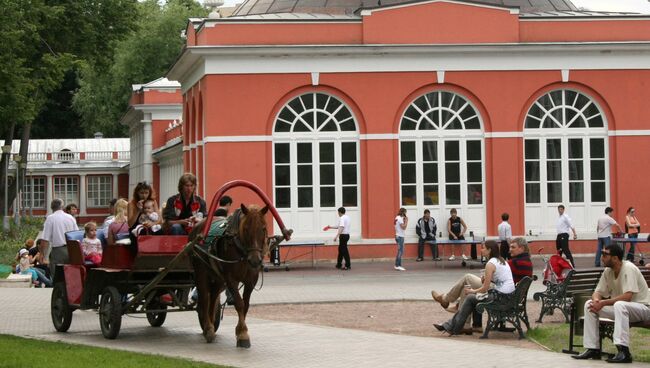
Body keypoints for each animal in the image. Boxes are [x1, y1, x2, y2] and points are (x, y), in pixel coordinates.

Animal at [187, 203, 268, 346]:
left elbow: (246, 304)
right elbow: (239, 303)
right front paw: (243, 335)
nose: (255, 260)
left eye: (263, 229)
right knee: (205, 298)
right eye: (246, 229)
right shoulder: (231, 279)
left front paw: (240, 331)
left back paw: (211, 323)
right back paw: (208, 328)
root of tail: (198, 225)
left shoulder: (251, 280)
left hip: (218, 277)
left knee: (213, 297)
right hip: (201, 271)